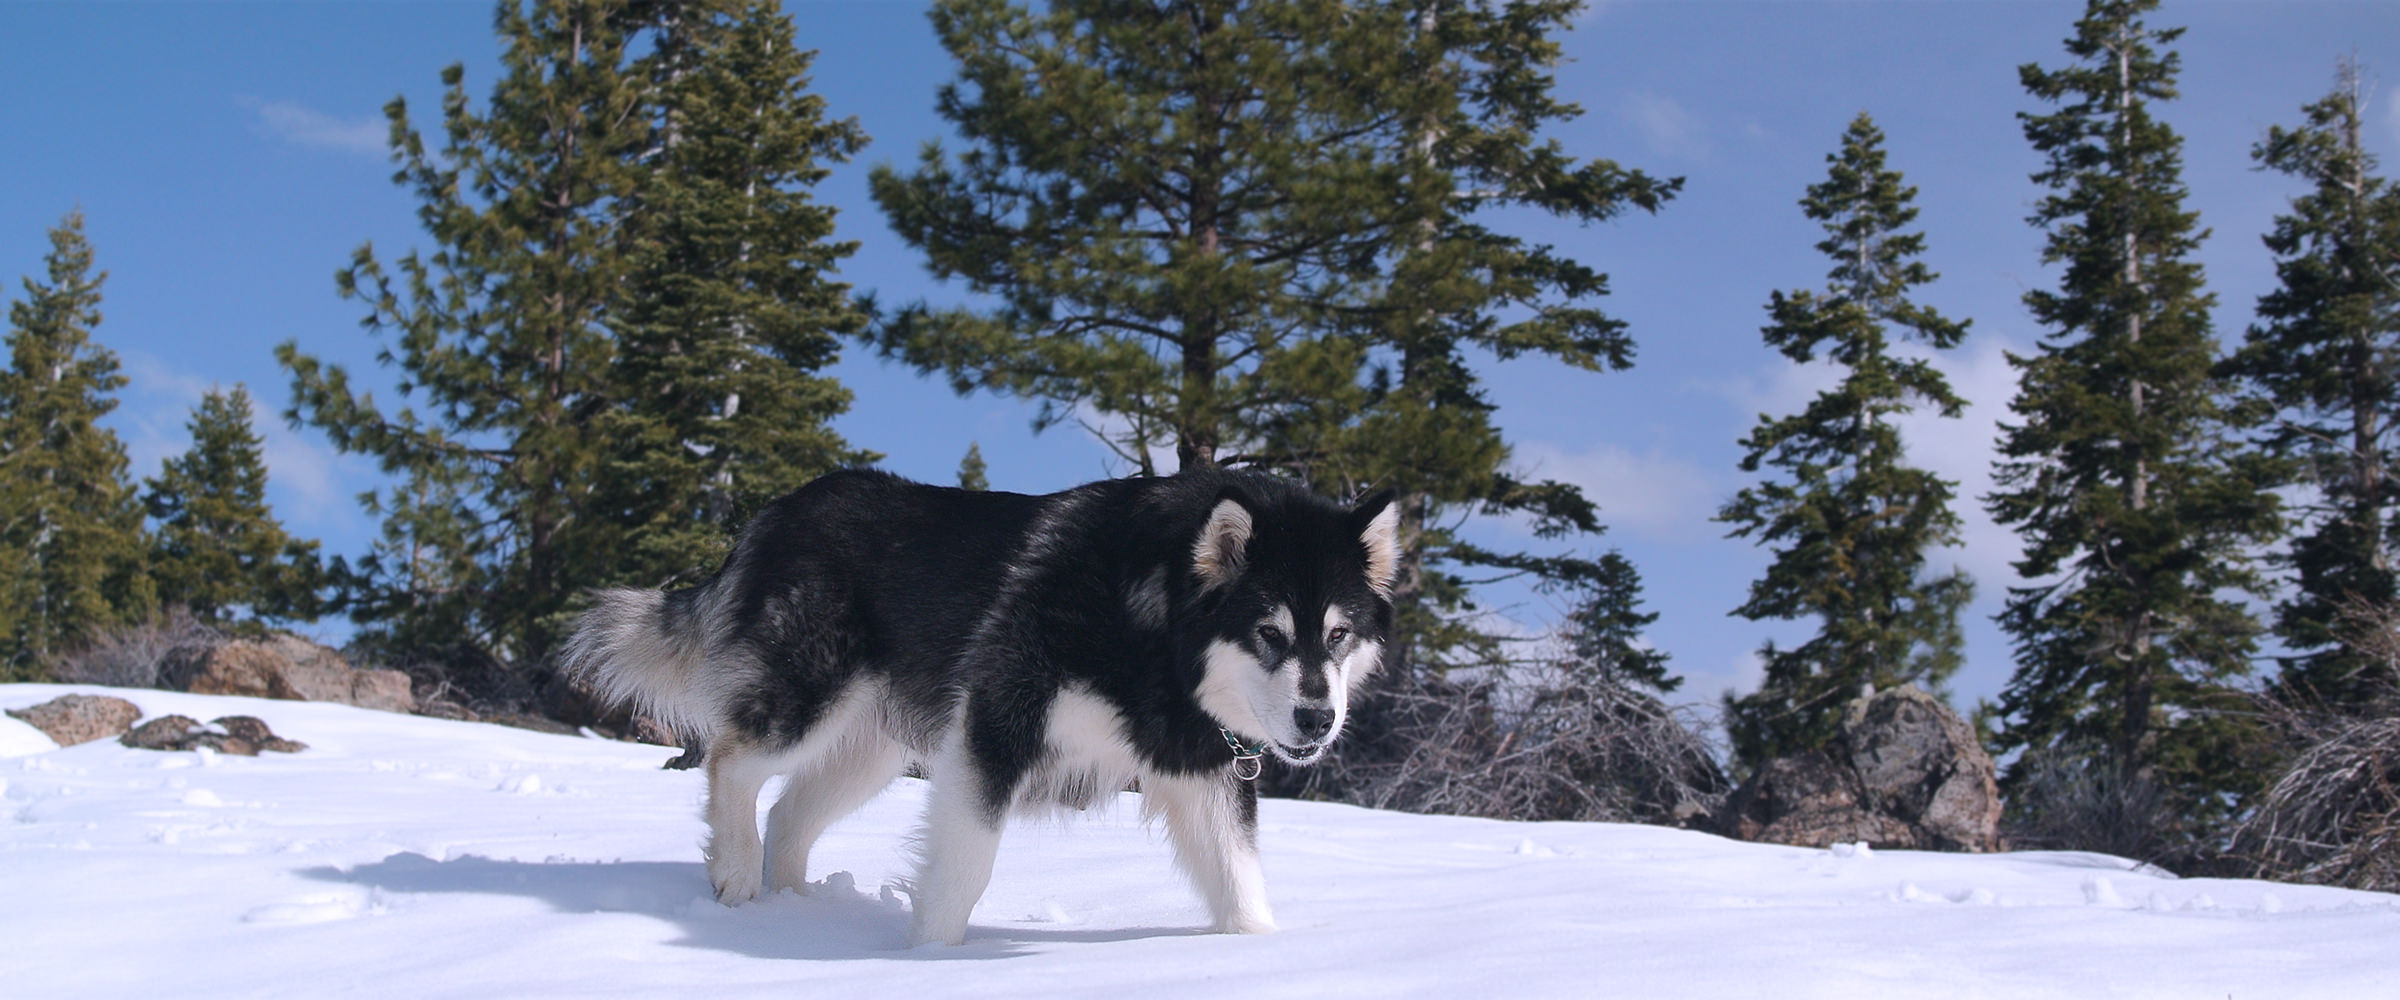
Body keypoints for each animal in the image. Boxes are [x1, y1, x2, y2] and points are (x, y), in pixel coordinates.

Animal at [554, 467, 1401, 944]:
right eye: (1269, 632)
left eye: (1338, 635)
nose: (1317, 721)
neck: (1147, 628)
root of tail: (779, 510)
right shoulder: (995, 729)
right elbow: (965, 872)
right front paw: (933, 960)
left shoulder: (1205, 770)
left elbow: (1242, 886)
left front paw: (1258, 955)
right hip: (810, 702)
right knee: (733, 761)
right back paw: (736, 877)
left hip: (872, 750)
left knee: (790, 814)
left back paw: (797, 912)